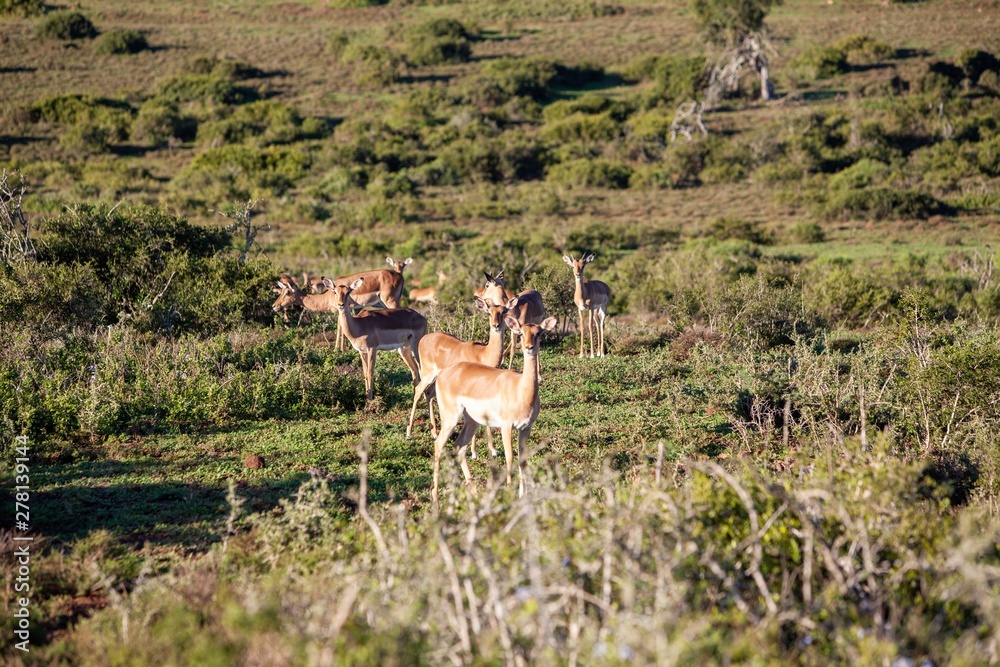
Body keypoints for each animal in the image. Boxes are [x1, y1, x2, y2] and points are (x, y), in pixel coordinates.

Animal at [406, 295, 517, 444]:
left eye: (504, 311)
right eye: (489, 312)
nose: (496, 325)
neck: (483, 354)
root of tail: (425, 338)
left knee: (428, 394)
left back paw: (434, 433)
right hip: (427, 375)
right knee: (418, 390)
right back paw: (409, 433)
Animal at [431, 315, 558, 502]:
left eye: (538, 333)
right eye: (521, 333)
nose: (529, 348)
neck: (521, 390)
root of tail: (443, 373)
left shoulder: (526, 428)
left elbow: (522, 460)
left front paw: (523, 495)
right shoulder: (506, 426)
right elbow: (510, 457)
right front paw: (510, 493)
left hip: (471, 421)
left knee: (459, 447)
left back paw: (470, 492)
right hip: (450, 418)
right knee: (439, 445)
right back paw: (436, 497)